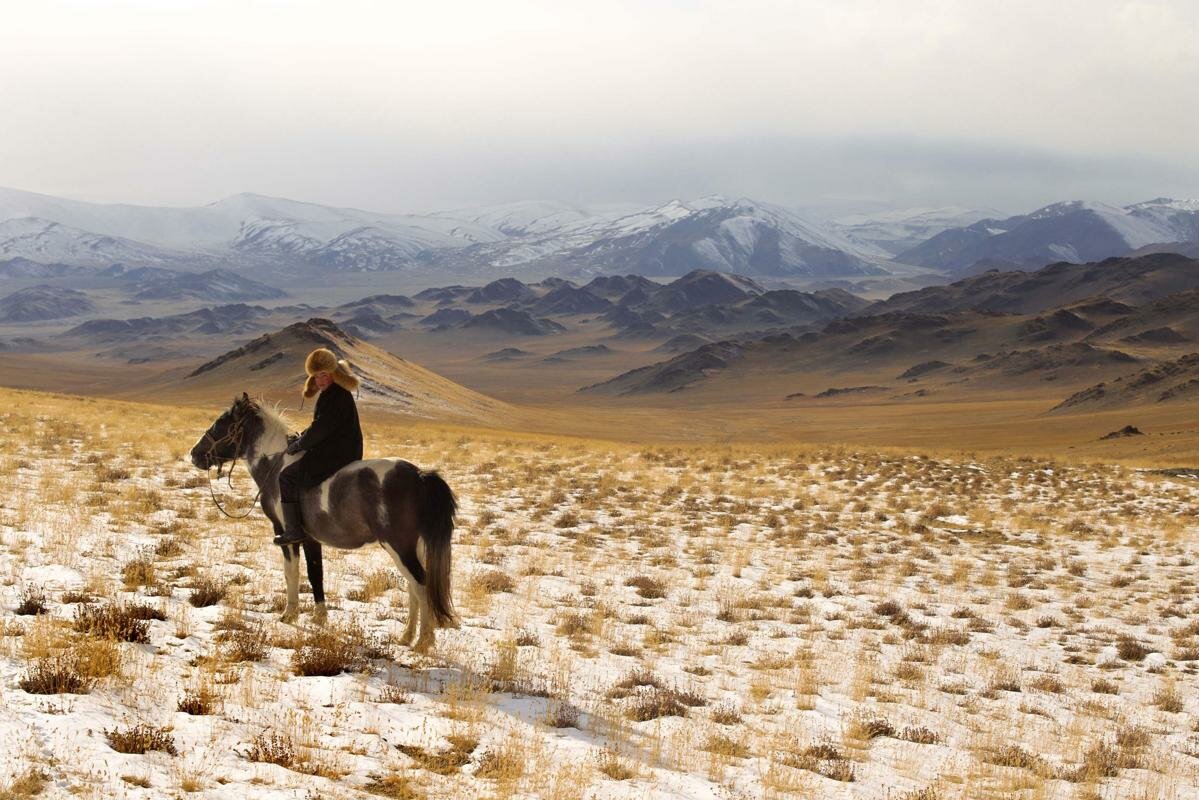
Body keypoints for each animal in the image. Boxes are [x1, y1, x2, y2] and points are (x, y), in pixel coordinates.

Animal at [189, 393, 455, 652]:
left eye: (221, 423)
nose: (194, 455)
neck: (276, 466)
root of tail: (419, 475)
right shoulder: (310, 538)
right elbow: (315, 573)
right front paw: (319, 617)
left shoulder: (286, 534)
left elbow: (291, 572)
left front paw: (289, 614)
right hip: (412, 547)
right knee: (413, 587)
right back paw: (406, 637)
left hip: (398, 546)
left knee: (420, 584)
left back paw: (423, 642)